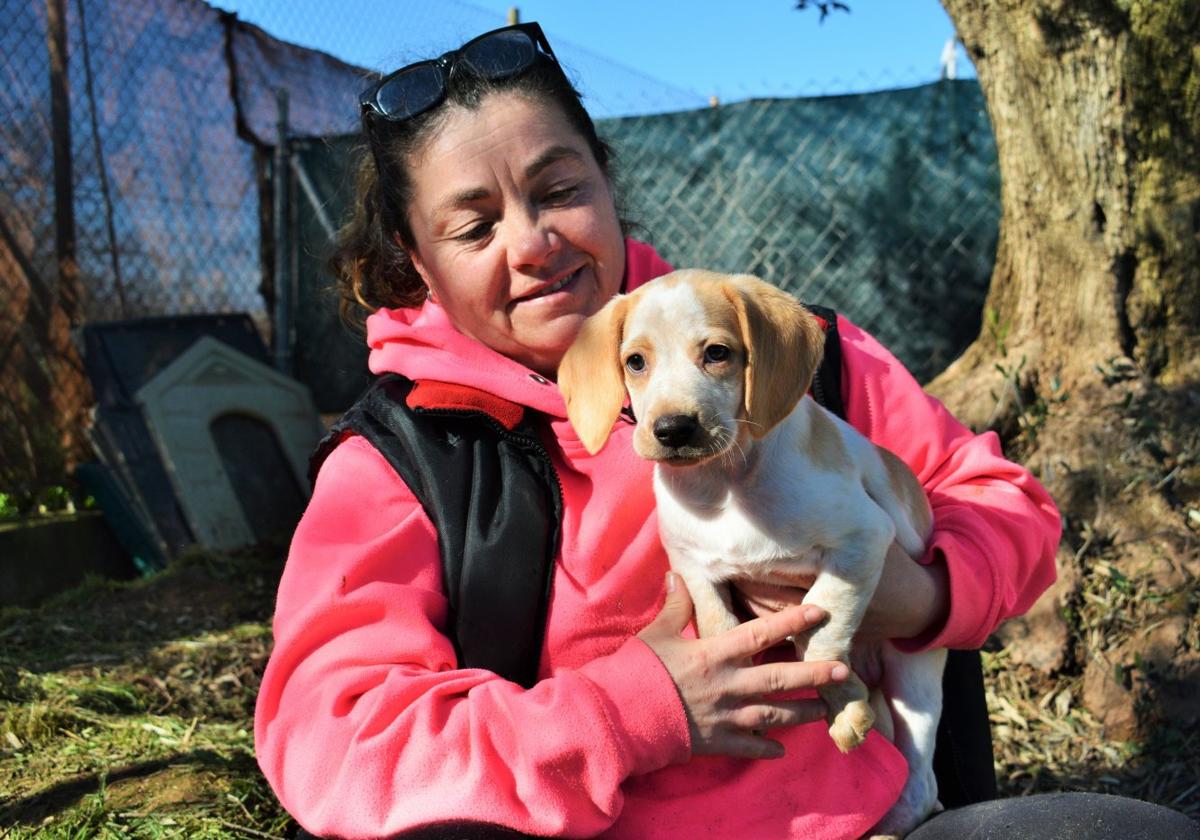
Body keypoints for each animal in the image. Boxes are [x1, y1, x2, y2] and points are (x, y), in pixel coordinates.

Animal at [559, 272, 945, 835]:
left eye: (717, 353)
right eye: (635, 362)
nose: (672, 429)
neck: (724, 484)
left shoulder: (863, 539)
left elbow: (822, 630)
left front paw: (845, 707)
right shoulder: (694, 569)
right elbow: (720, 627)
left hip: (914, 673)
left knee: (923, 775)